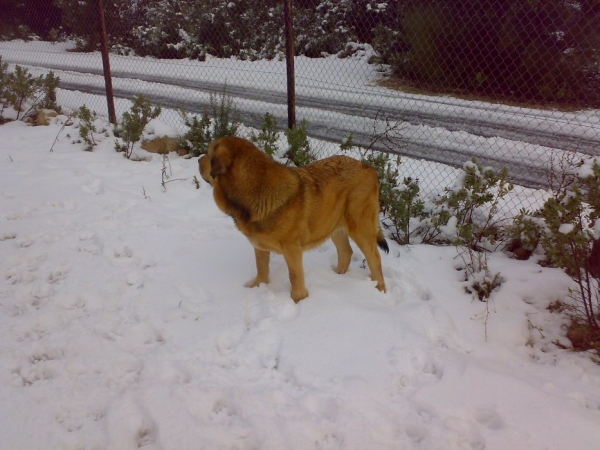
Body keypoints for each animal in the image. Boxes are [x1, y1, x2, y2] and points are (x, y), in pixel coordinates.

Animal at [199, 135, 386, 300]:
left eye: (208, 153)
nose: (199, 159)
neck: (256, 189)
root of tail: (369, 168)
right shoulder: (260, 246)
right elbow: (261, 268)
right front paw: (257, 286)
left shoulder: (292, 249)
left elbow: (295, 277)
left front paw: (298, 300)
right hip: (332, 224)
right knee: (346, 251)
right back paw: (336, 277)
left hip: (360, 226)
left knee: (374, 259)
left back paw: (379, 289)